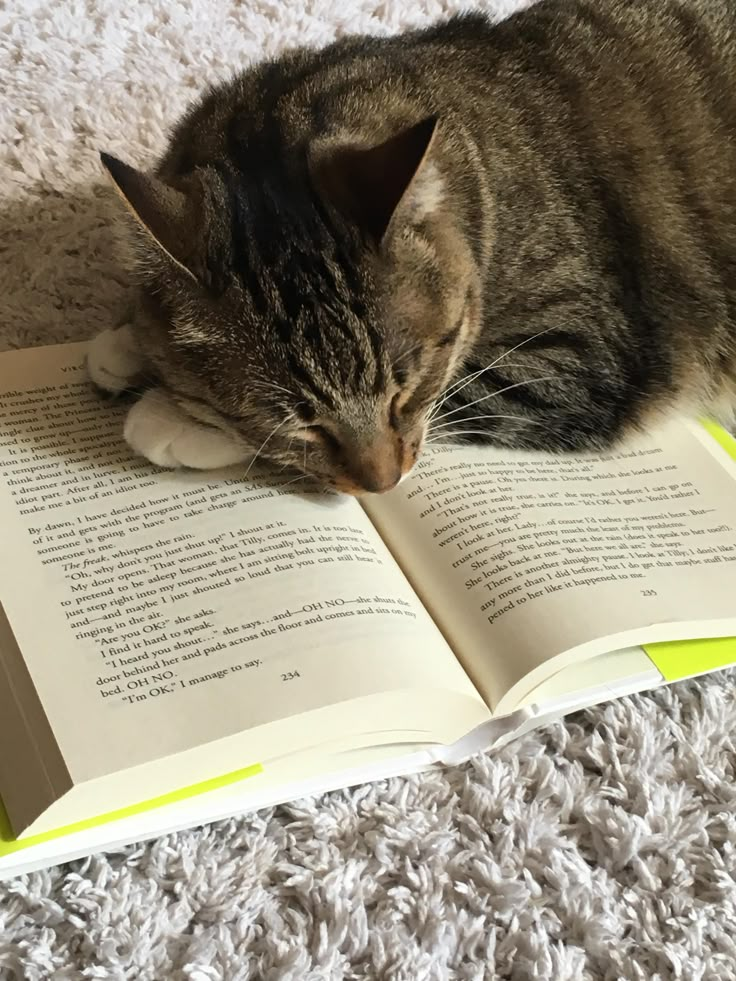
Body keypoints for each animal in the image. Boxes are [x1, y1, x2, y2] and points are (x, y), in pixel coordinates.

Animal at [89, 0, 736, 494]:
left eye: (405, 392)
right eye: (301, 422)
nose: (381, 485)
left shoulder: (578, 356)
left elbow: (464, 391)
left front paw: (171, 417)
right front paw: (129, 343)